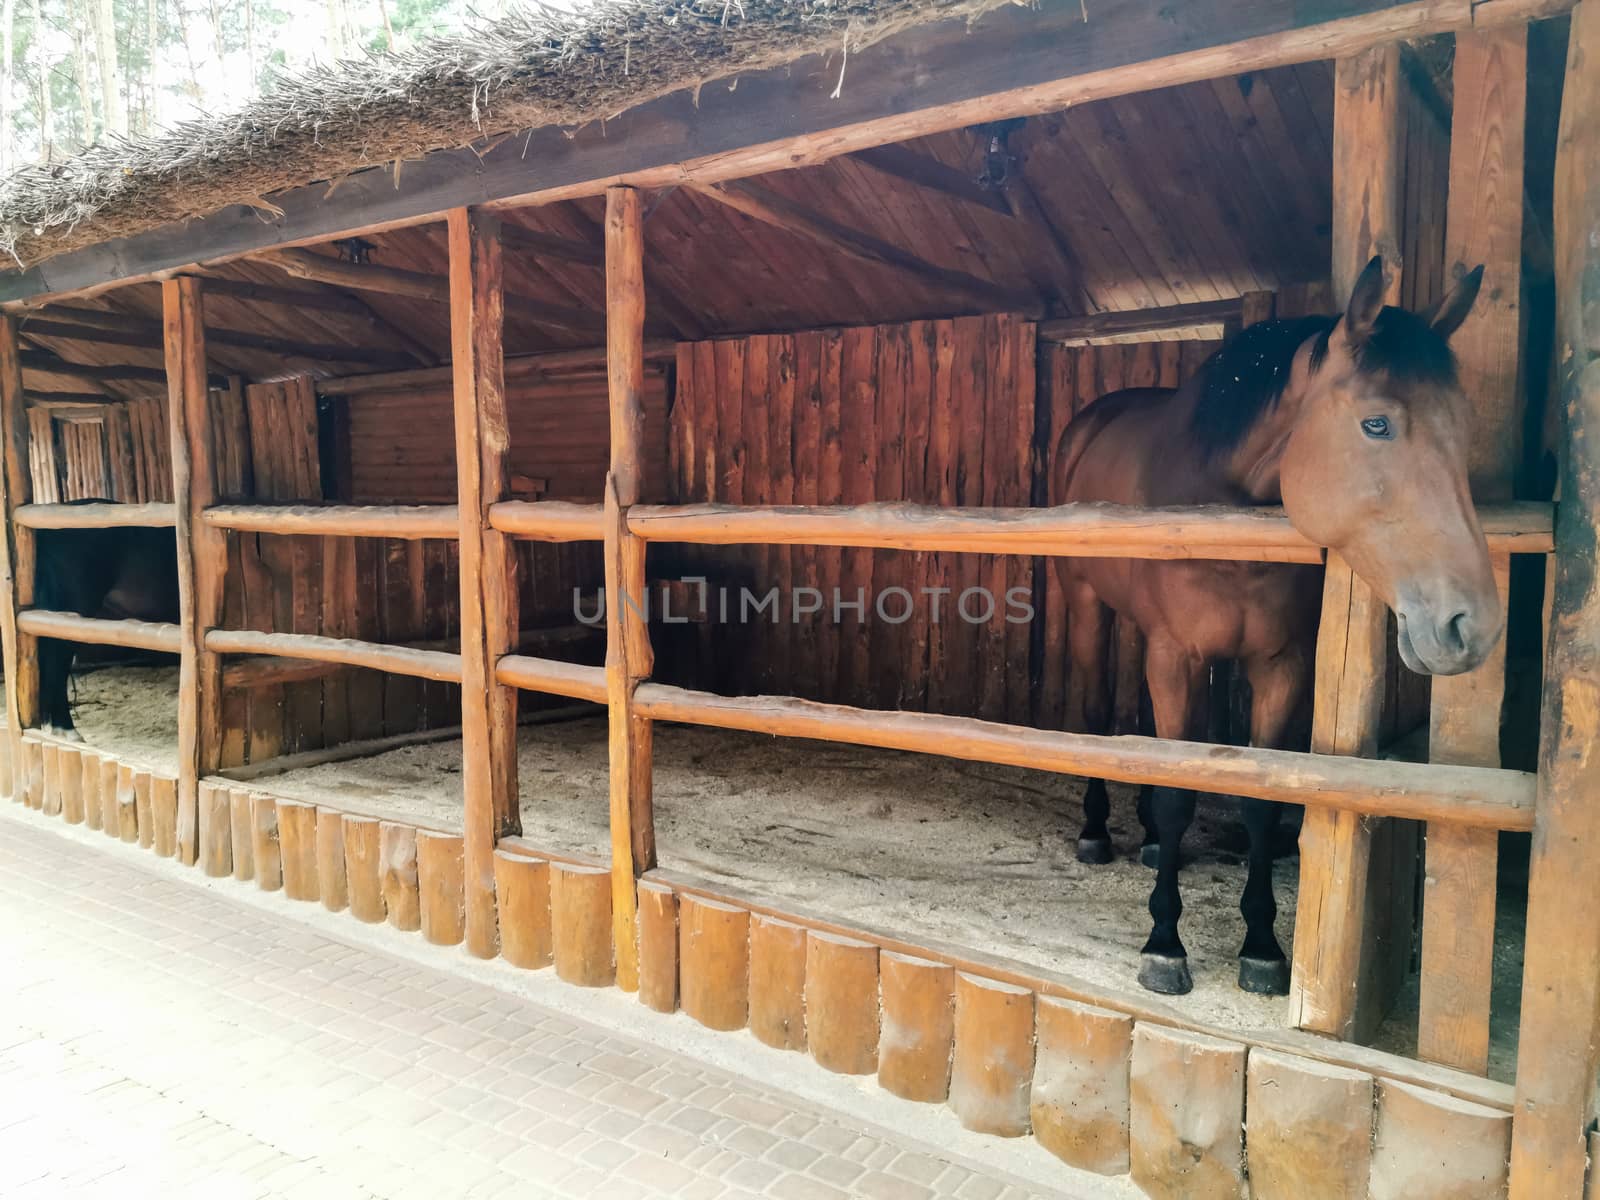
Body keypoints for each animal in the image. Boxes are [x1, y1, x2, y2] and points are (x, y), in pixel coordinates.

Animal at [1049, 259, 1497, 998]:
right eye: (1377, 424)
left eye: (1465, 427)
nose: (1471, 625)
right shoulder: (1175, 656)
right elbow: (1177, 794)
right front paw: (1164, 944)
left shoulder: (1280, 665)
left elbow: (1259, 799)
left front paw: (1261, 945)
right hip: (1089, 607)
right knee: (1093, 714)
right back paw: (1096, 832)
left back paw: (1147, 839)